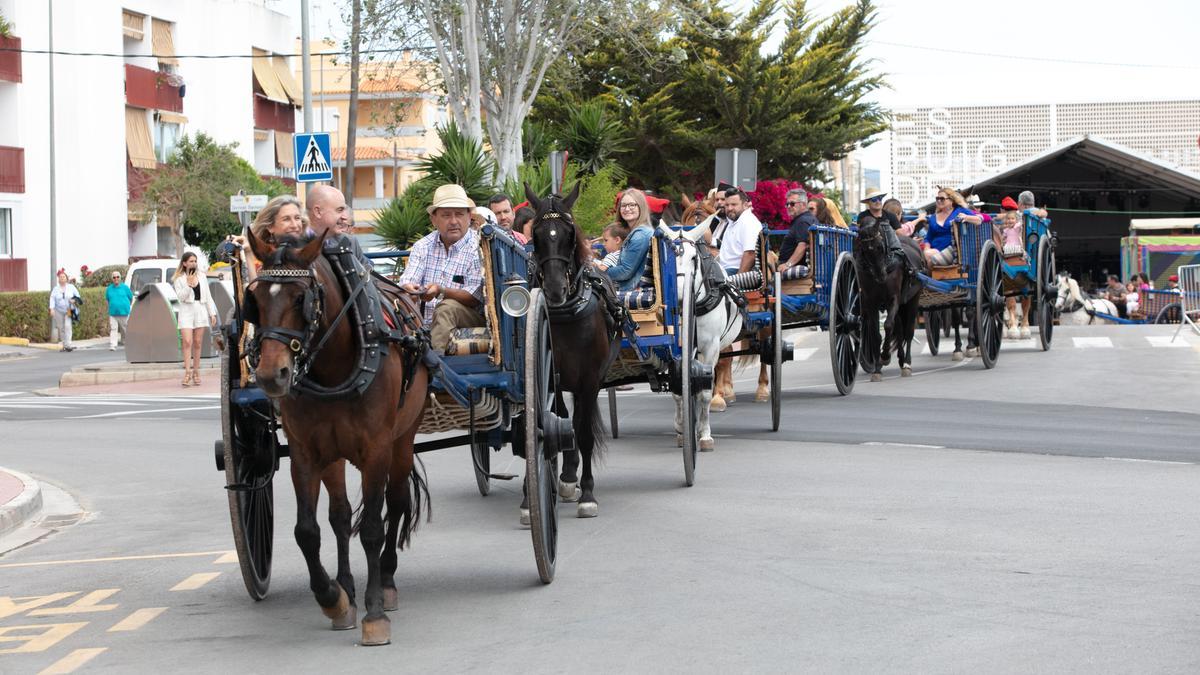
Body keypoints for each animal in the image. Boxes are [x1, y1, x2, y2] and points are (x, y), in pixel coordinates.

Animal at [246, 233, 429, 648]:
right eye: (255, 300)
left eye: (301, 298)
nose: (270, 375)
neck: (334, 366)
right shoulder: (306, 454)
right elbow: (308, 531)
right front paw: (333, 598)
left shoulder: (377, 450)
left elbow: (374, 529)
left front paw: (374, 614)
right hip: (334, 456)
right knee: (341, 517)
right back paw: (347, 588)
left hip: (403, 439)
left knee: (396, 503)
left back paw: (387, 581)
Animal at [523, 181, 619, 516]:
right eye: (536, 236)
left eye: (569, 235)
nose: (554, 290)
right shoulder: (550, 375)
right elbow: (559, 424)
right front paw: (563, 477)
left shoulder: (590, 379)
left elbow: (585, 433)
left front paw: (587, 493)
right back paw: (566, 474)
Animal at [657, 219, 739, 451]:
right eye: (668, 258)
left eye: (693, 258)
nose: (679, 297)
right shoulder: (675, 349)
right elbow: (678, 390)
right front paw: (681, 427)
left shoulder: (711, 347)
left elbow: (704, 392)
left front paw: (704, 435)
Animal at [854, 213, 926, 379]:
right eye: (864, 249)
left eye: (880, 247)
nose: (881, 276)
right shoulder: (870, 303)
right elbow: (875, 333)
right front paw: (877, 366)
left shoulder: (894, 299)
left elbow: (887, 325)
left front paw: (885, 355)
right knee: (899, 330)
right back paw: (899, 358)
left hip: (913, 300)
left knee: (908, 332)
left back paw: (907, 363)